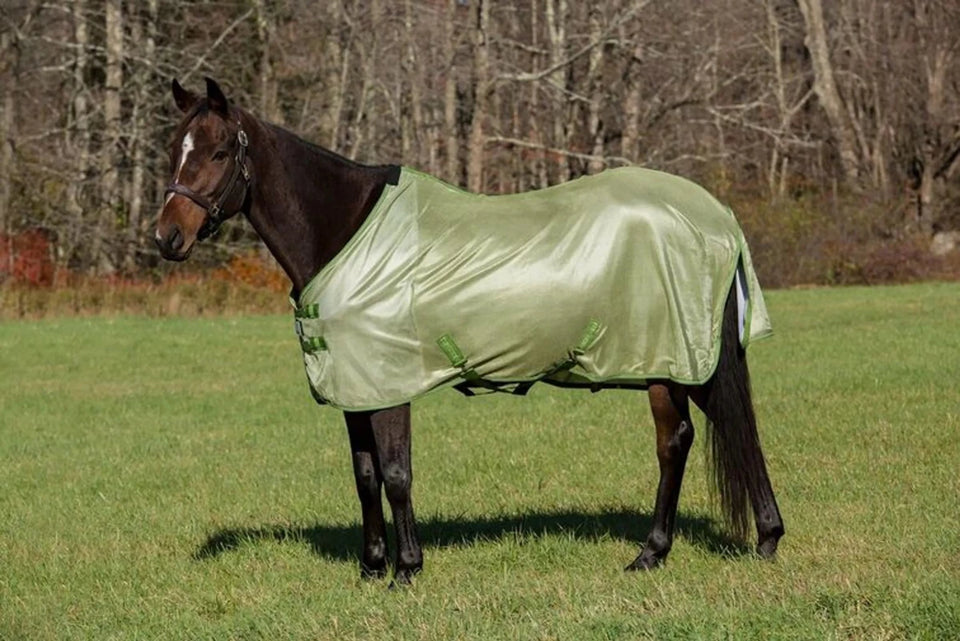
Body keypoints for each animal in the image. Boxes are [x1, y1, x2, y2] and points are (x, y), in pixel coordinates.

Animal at [155, 78, 784, 584]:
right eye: (174, 150)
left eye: (217, 152)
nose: (167, 238)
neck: (346, 229)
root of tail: (717, 217)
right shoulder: (356, 387)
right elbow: (365, 476)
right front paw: (370, 567)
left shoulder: (389, 386)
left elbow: (397, 474)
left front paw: (407, 570)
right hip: (677, 362)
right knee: (707, 435)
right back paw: (711, 545)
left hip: (673, 361)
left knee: (688, 440)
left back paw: (698, 548)